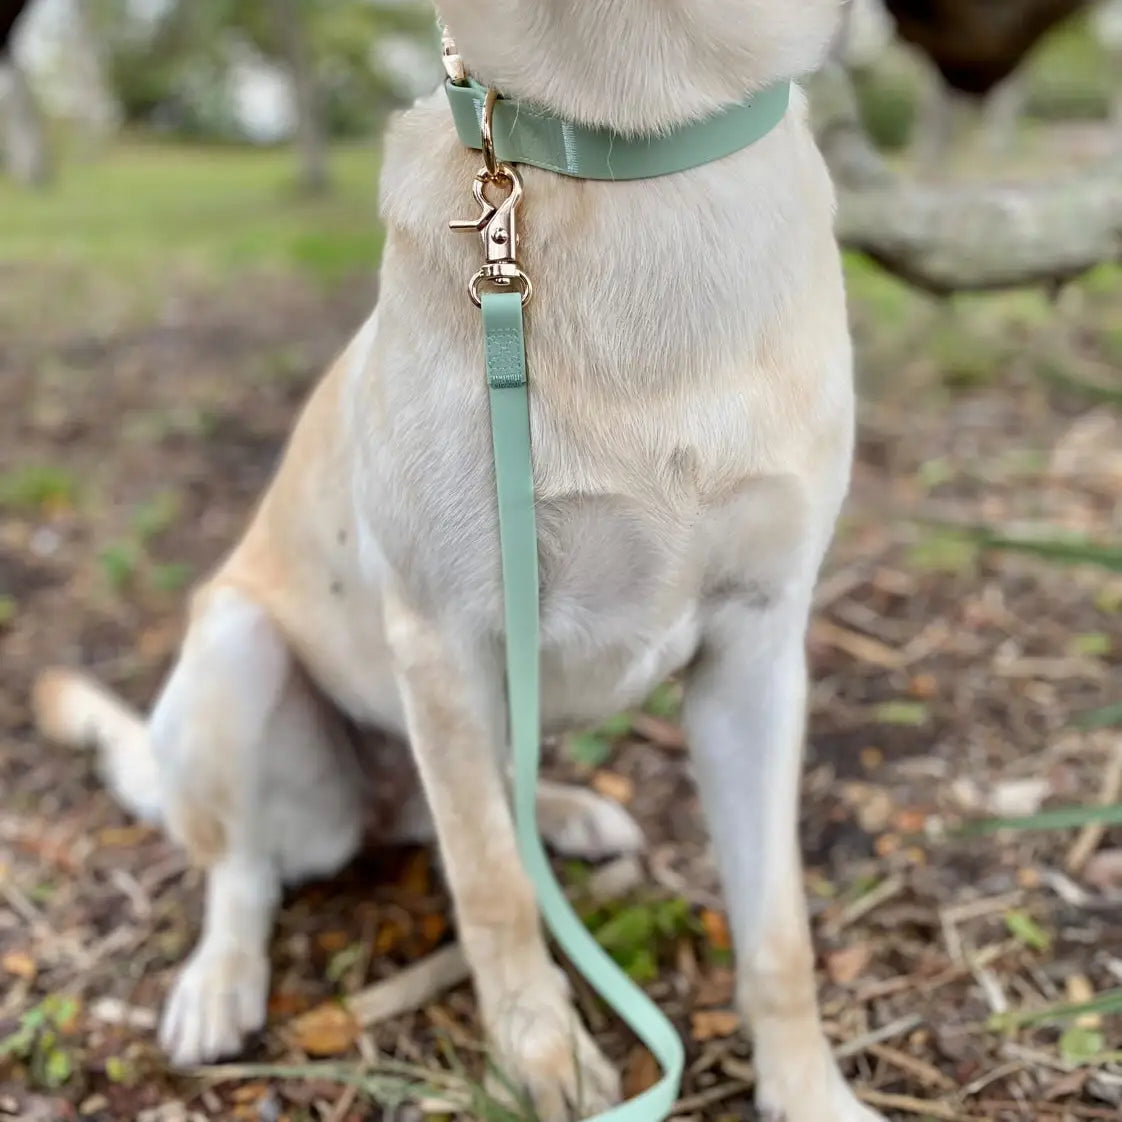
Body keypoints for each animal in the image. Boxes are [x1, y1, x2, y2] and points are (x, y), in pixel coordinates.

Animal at [35, 4, 879, 1117]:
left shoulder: (758, 654)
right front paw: (541, 1056)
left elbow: (779, 934)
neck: (630, 154)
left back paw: (568, 814)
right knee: (247, 870)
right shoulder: (444, 639)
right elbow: (490, 885)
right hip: (240, 649)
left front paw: (808, 1088)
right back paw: (221, 981)